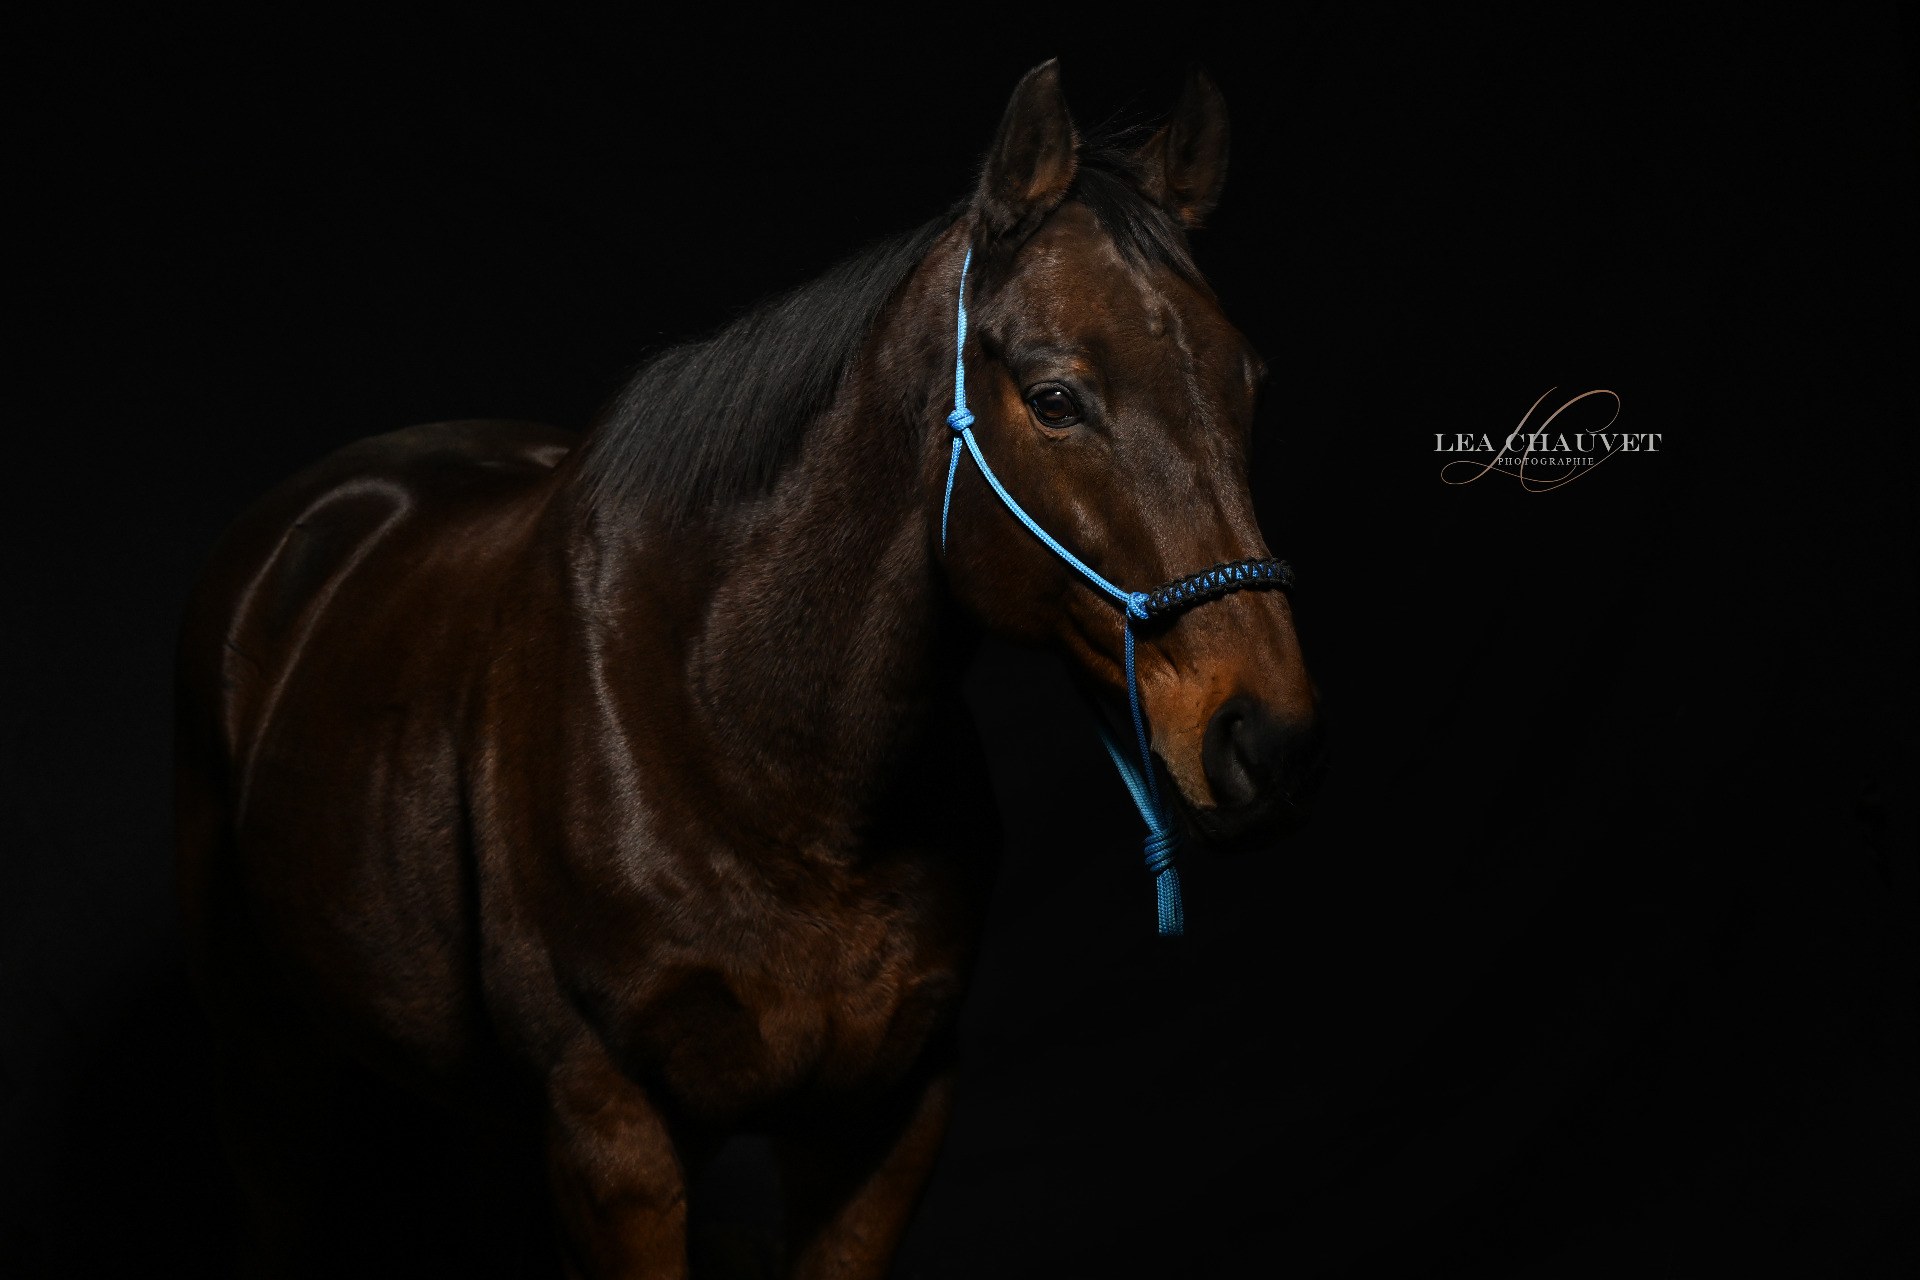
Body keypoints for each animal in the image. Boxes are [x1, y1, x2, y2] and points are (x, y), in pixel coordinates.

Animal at [174, 59, 1325, 1279]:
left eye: (1249, 383)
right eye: (1056, 398)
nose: (1270, 738)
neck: (748, 742)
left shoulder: (884, 1118)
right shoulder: (611, 1129)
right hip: (258, 1051)